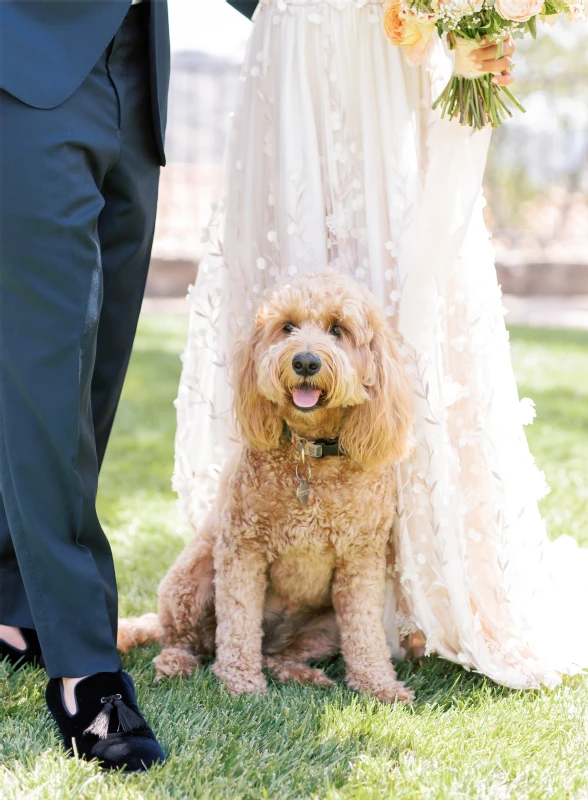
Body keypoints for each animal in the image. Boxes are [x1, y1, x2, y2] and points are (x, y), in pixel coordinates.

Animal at [118, 272, 414, 704]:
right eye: (287, 326)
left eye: (338, 329)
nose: (305, 361)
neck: (309, 453)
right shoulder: (242, 549)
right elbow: (238, 622)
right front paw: (240, 683)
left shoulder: (361, 561)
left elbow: (365, 632)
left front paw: (379, 684)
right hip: (191, 578)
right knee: (185, 641)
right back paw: (176, 664)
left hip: (325, 628)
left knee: (278, 656)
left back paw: (301, 674)